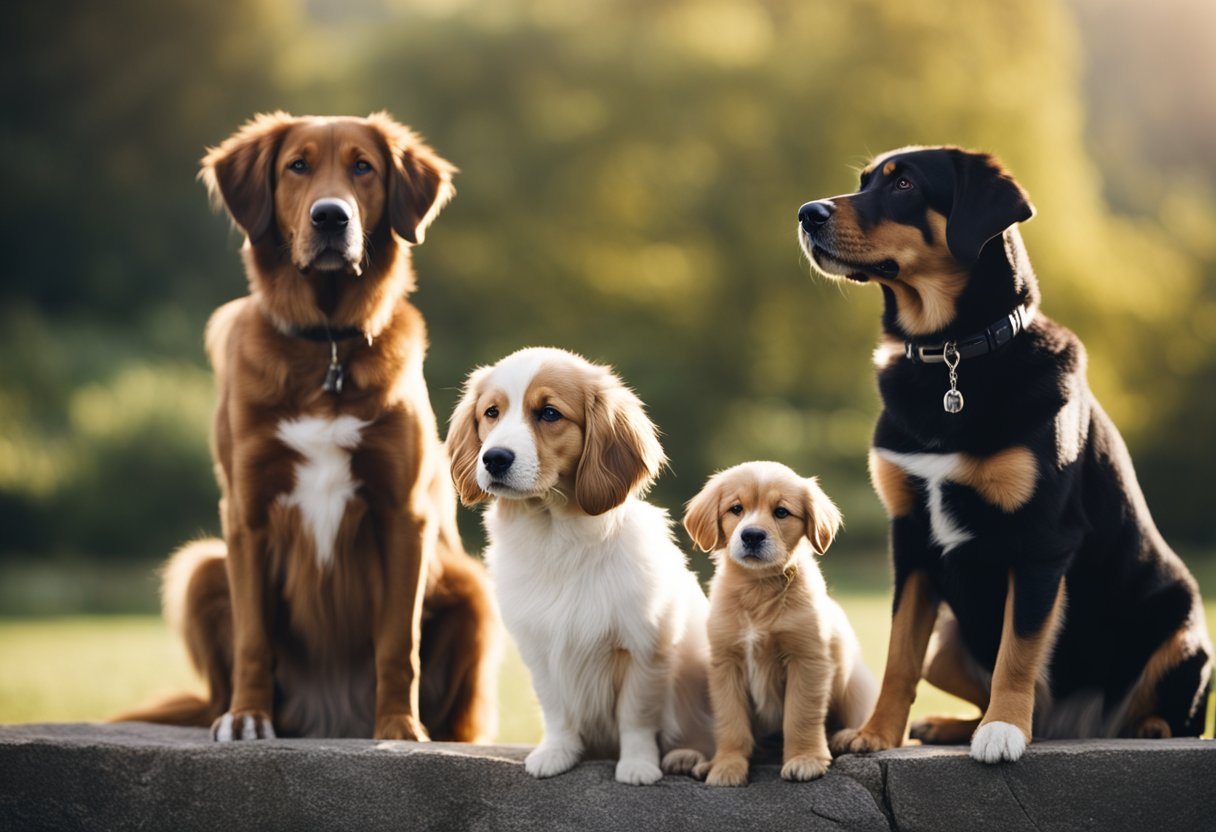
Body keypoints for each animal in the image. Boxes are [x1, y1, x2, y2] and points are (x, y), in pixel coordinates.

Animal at [120, 110, 500, 739]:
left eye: (363, 168)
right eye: (297, 165)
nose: (330, 216)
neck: (326, 346)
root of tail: (329, 719)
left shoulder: (403, 513)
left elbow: (398, 643)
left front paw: (399, 727)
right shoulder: (246, 513)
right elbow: (253, 637)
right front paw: (249, 718)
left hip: (472, 589)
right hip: (203, 569)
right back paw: (231, 712)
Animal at [447, 345, 710, 788]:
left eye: (549, 413)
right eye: (491, 413)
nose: (493, 458)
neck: (557, 538)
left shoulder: (643, 647)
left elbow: (635, 715)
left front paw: (637, 765)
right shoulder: (539, 651)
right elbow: (557, 709)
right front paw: (557, 753)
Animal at [685, 462, 875, 788]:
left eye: (781, 512)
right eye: (736, 509)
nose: (751, 535)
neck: (757, 588)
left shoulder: (807, 658)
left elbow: (800, 716)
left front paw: (805, 759)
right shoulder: (726, 663)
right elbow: (731, 722)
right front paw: (726, 766)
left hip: (857, 682)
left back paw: (851, 738)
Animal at [797, 147, 1206, 759]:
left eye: (904, 184)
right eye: (866, 181)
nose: (807, 213)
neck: (949, 354)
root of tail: (1073, 727)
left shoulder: (1043, 540)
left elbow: (1019, 649)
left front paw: (1005, 729)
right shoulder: (910, 537)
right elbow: (899, 654)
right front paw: (878, 732)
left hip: (1182, 631)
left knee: (1169, 714)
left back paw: (1142, 726)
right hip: (948, 642)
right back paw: (948, 726)